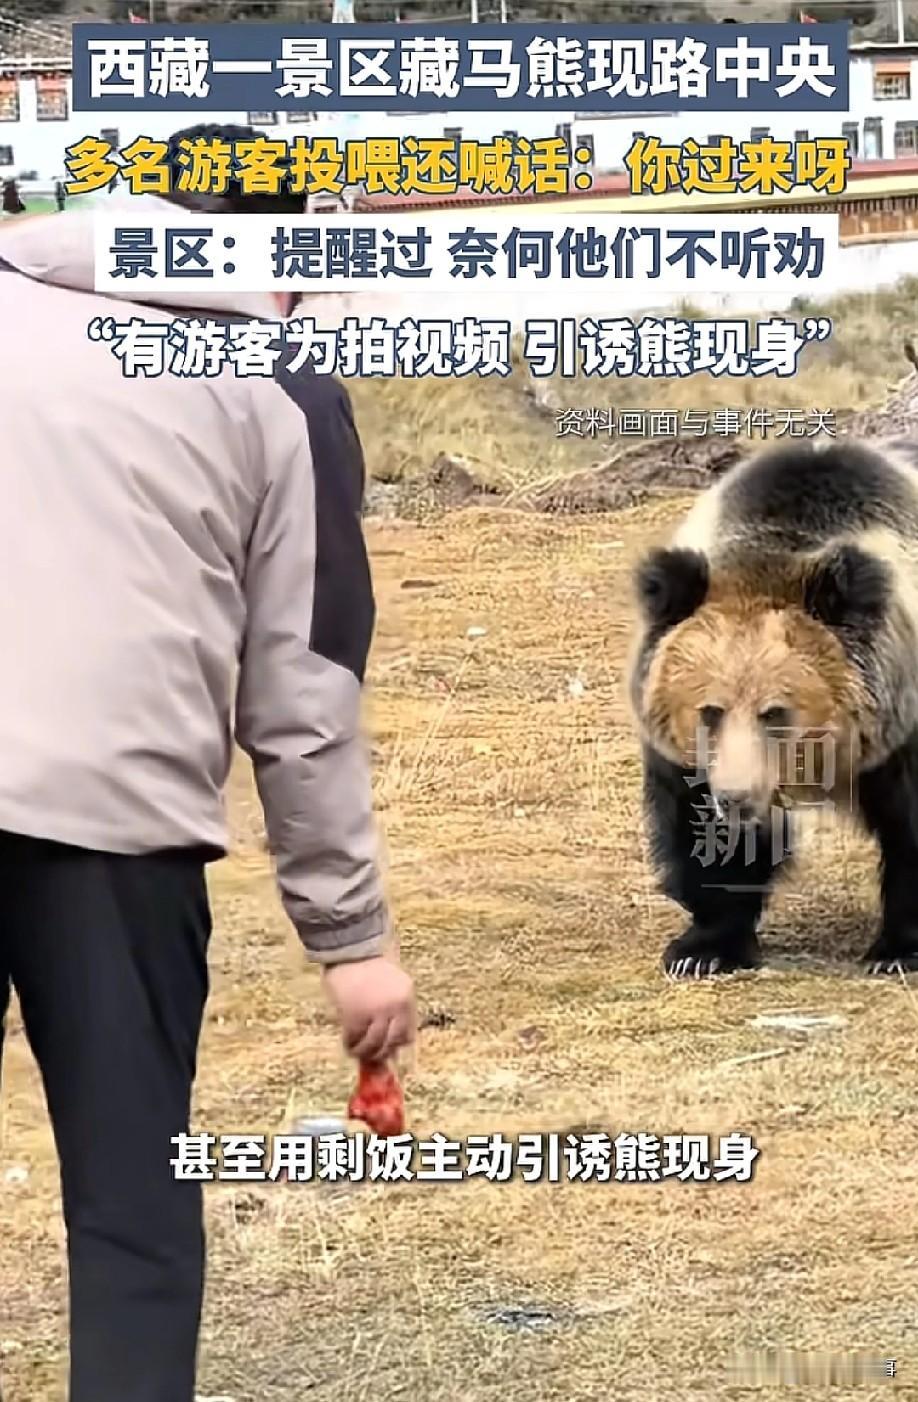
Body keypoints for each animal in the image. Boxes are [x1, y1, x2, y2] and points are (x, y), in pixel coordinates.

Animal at [628, 435, 918, 979]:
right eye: (710, 710)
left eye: (776, 713)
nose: (735, 799)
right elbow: (697, 826)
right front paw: (703, 949)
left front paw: (898, 950)